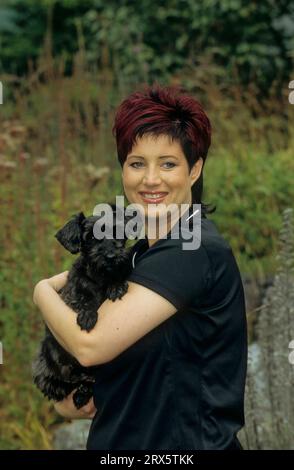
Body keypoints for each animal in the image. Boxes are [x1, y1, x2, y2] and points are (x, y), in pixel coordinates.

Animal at [31, 205, 135, 408]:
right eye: (91, 238)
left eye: (117, 232)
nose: (111, 256)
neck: (101, 278)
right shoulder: (68, 296)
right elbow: (81, 298)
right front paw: (87, 315)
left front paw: (116, 286)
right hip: (47, 356)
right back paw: (60, 385)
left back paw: (83, 392)